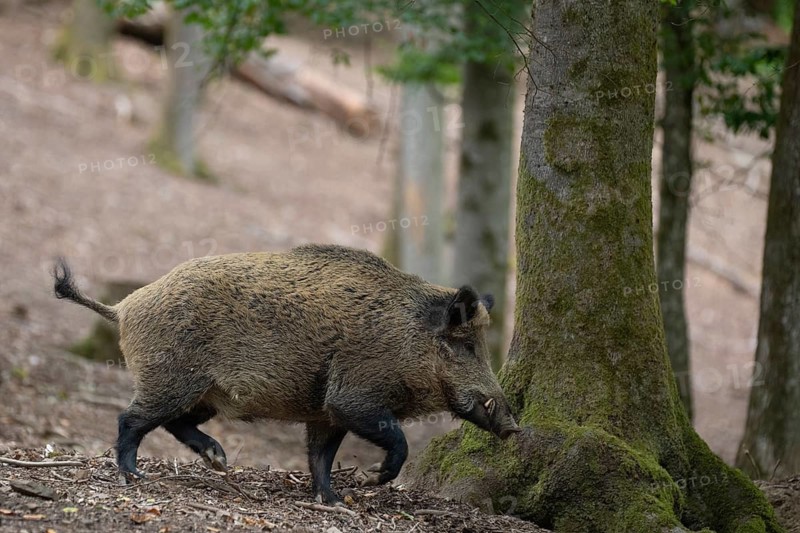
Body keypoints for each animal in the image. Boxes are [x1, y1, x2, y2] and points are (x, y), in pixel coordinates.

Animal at [53, 244, 520, 504]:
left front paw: (333, 501)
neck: (408, 338)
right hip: (171, 379)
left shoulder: (325, 413)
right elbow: (396, 441)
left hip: (205, 394)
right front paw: (367, 481)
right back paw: (134, 475)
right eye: (465, 346)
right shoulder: (351, 397)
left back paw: (219, 460)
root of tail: (123, 307)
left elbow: (320, 456)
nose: (514, 427)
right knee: (130, 419)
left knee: (174, 423)